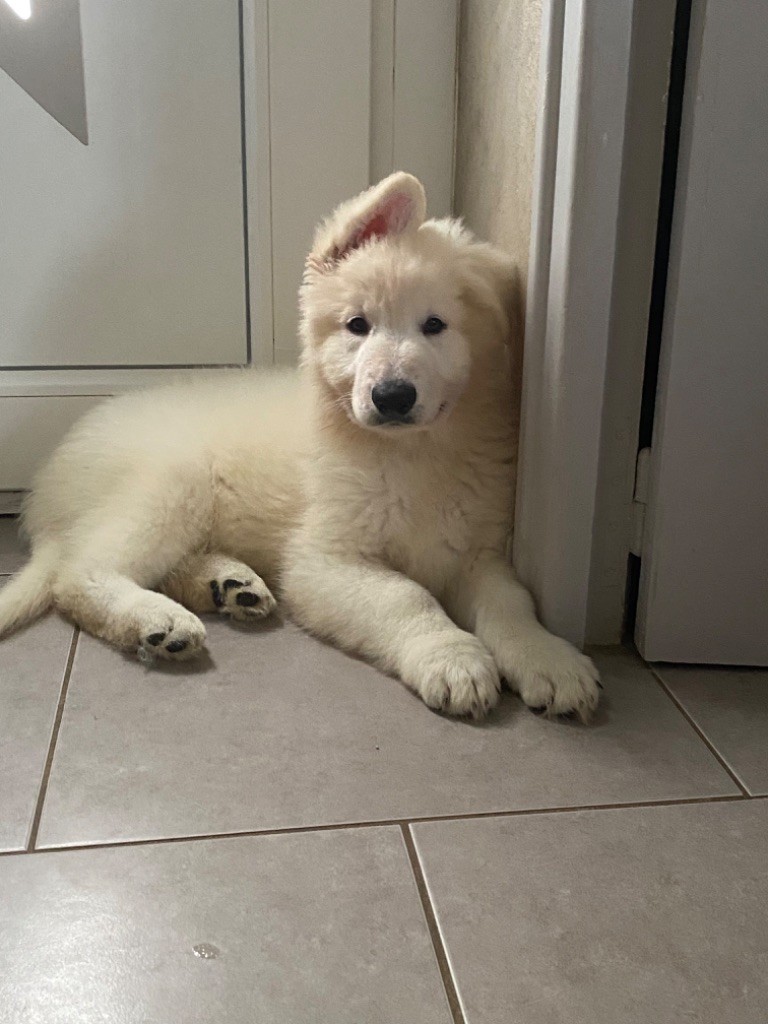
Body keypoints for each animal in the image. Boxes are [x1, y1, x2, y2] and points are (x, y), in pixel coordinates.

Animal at [0, 174, 602, 720]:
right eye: (357, 325)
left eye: (435, 325)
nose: (391, 396)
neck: (409, 454)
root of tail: (46, 487)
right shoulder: (325, 560)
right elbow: (405, 595)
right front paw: (451, 656)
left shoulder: (475, 548)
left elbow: (512, 602)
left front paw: (550, 659)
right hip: (170, 486)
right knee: (78, 574)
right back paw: (157, 619)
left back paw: (229, 585)